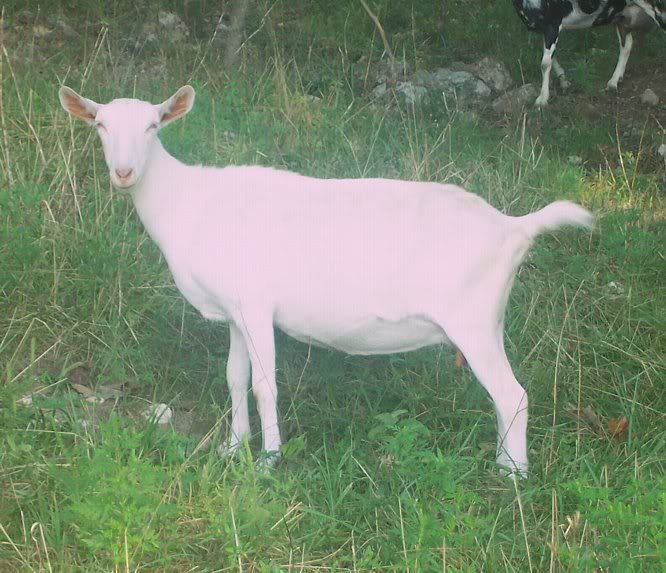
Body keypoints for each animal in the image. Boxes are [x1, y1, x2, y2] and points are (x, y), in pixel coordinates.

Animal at [59, 85, 593, 477]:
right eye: (101, 125)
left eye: (153, 126)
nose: (124, 172)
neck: (189, 202)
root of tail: (515, 226)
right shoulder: (236, 311)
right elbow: (234, 379)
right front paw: (233, 450)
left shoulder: (256, 304)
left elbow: (265, 386)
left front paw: (268, 463)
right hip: (491, 322)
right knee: (505, 398)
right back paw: (504, 464)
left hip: (473, 323)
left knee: (512, 394)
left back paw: (513, 480)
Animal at [513, 0, 666, 106]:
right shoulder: (544, 30)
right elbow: (551, 58)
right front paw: (564, 82)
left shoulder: (552, 23)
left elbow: (545, 64)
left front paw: (542, 99)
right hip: (622, 17)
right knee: (626, 45)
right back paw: (614, 81)